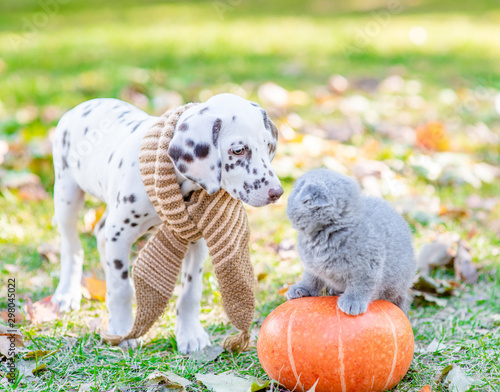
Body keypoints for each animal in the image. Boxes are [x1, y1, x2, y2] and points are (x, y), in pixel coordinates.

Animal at [53, 94, 286, 352]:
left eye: (268, 145)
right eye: (238, 150)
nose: (277, 193)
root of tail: (82, 106)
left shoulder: (195, 239)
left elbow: (190, 291)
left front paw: (190, 334)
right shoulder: (120, 233)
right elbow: (120, 287)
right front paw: (122, 331)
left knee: (100, 234)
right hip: (66, 196)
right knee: (72, 247)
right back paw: (67, 293)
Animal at [288, 169, 416, 316]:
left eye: (296, 189)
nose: (286, 193)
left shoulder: (368, 266)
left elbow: (361, 285)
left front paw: (353, 301)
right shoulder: (313, 267)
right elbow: (311, 279)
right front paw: (301, 289)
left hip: (397, 286)